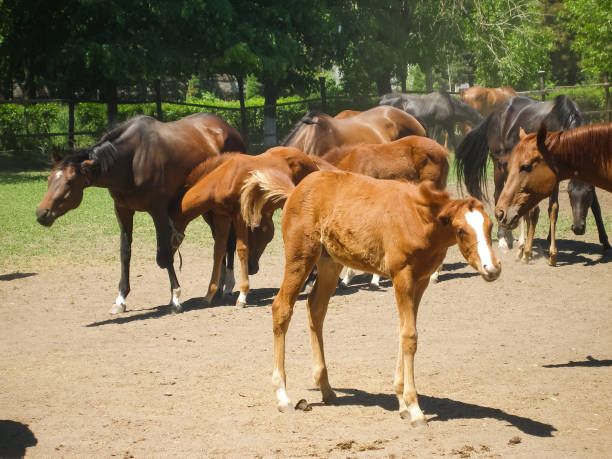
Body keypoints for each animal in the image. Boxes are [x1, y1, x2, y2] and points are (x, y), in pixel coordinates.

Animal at [35, 113, 245, 314]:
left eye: (69, 182)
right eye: (49, 179)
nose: (42, 213)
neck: (133, 159)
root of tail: (229, 129)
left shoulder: (158, 210)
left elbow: (165, 254)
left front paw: (175, 298)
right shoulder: (123, 210)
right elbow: (125, 253)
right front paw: (120, 300)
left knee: (228, 241)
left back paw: (227, 287)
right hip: (208, 207)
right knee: (221, 241)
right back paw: (219, 288)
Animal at [244, 172, 502, 428]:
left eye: (490, 226)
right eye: (461, 231)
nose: (492, 268)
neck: (420, 220)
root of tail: (295, 190)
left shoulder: (421, 281)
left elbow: (405, 332)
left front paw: (402, 403)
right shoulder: (402, 277)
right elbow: (410, 336)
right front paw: (415, 409)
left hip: (330, 261)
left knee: (316, 308)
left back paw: (326, 389)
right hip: (301, 256)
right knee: (282, 308)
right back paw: (283, 396)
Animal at [454, 94, 608, 266]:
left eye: (589, 194)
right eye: (569, 194)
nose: (578, 228)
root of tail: (495, 114)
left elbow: (565, 208)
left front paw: (605, 242)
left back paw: (511, 237)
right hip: (498, 167)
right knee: (498, 195)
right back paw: (502, 238)